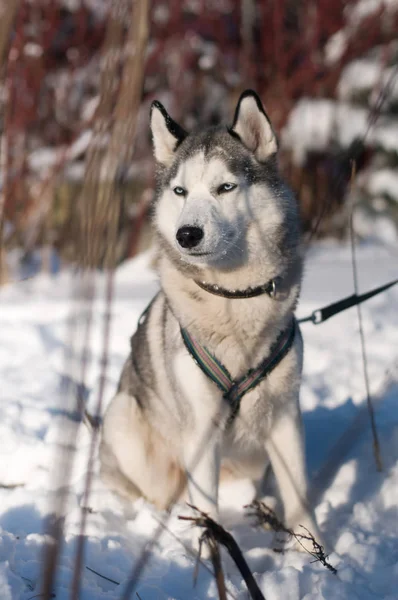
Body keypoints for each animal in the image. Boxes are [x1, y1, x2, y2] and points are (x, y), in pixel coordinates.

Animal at [99, 89, 324, 552]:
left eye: (225, 187)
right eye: (180, 191)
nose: (187, 234)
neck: (234, 302)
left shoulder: (285, 417)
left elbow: (298, 496)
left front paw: (313, 548)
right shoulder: (201, 428)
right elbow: (205, 509)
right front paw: (212, 551)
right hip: (126, 417)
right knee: (157, 493)